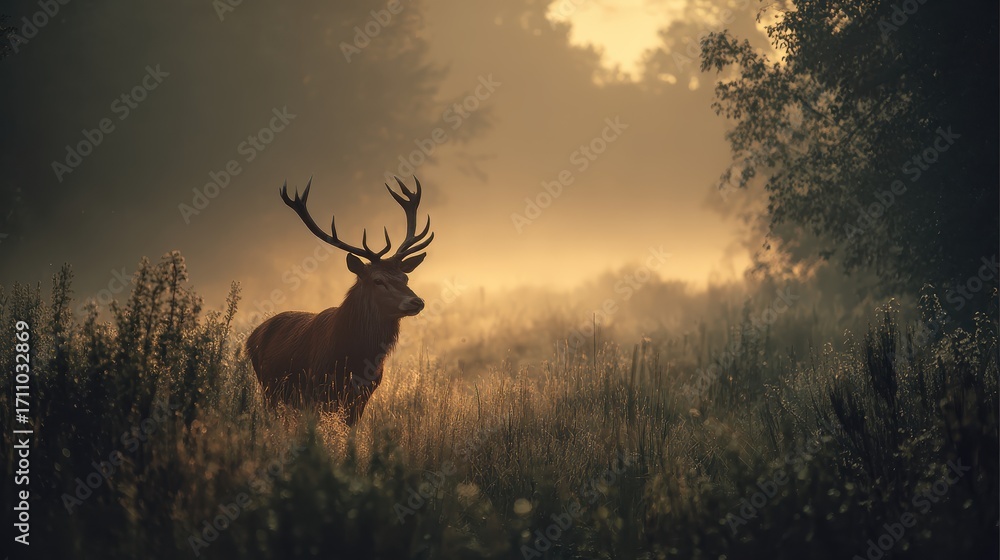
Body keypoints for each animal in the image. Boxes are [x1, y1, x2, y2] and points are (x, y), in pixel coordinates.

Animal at [246, 176, 433, 426]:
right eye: (378, 280)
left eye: (405, 277)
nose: (417, 301)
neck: (353, 358)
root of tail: (253, 335)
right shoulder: (315, 390)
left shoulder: (363, 395)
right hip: (269, 388)